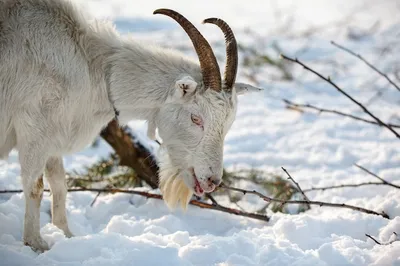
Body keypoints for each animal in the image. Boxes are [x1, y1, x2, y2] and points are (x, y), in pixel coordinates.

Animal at [0, 0, 260, 251]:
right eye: (196, 118)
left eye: (227, 125)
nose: (213, 182)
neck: (91, 64)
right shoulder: (34, 130)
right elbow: (35, 187)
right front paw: (36, 244)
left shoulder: (53, 138)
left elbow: (59, 186)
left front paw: (67, 235)